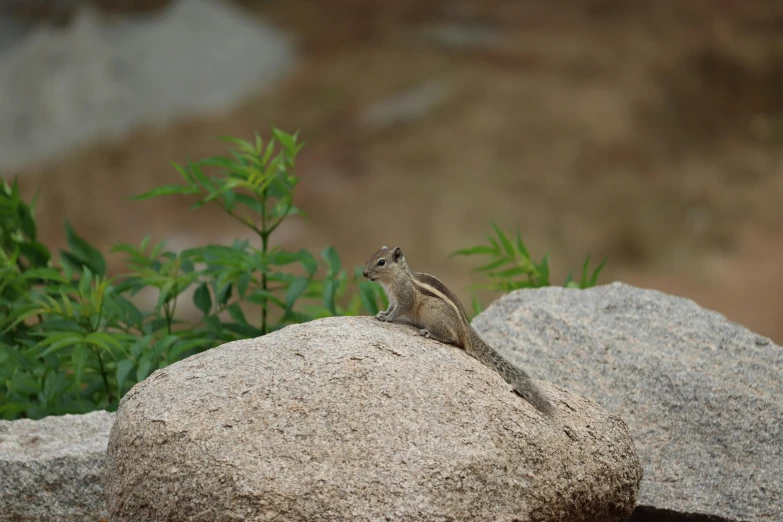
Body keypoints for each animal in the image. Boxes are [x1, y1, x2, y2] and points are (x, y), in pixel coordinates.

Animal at [364, 245, 556, 414]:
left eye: (381, 262)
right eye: (371, 256)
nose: (364, 273)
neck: (395, 278)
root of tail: (464, 327)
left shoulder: (405, 298)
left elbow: (398, 311)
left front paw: (387, 319)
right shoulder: (392, 300)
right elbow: (390, 308)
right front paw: (382, 313)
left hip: (432, 311)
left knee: (451, 338)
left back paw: (429, 333)